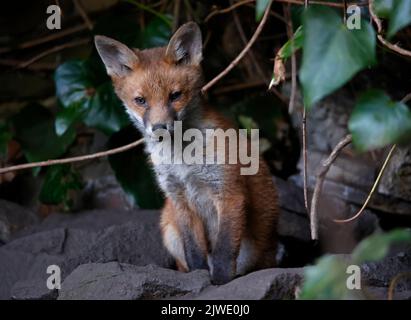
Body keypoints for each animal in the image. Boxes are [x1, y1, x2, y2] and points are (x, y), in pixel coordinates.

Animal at [95, 22, 280, 284]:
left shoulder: (229, 193)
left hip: (253, 247)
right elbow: (193, 251)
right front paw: (198, 277)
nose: (160, 128)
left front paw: (219, 283)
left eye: (175, 96)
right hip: (168, 226)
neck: (182, 160)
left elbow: (224, 252)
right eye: (140, 100)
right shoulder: (178, 198)